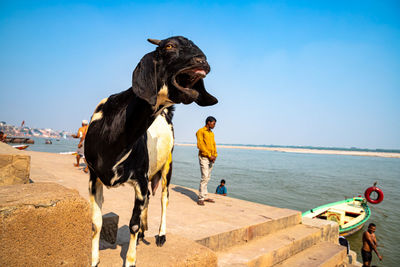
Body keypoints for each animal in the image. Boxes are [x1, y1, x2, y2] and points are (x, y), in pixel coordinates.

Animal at [83, 36, 217, 267]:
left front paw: (130, 260)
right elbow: (96, 223)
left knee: (163, 199)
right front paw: (94, 260)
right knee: (147, 202)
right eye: (169, 46)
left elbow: (133, 224)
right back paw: (144, 235)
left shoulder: (140, 179)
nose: (202, 61)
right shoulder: (93, 177)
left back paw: (160, 235)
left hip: (167, 168)